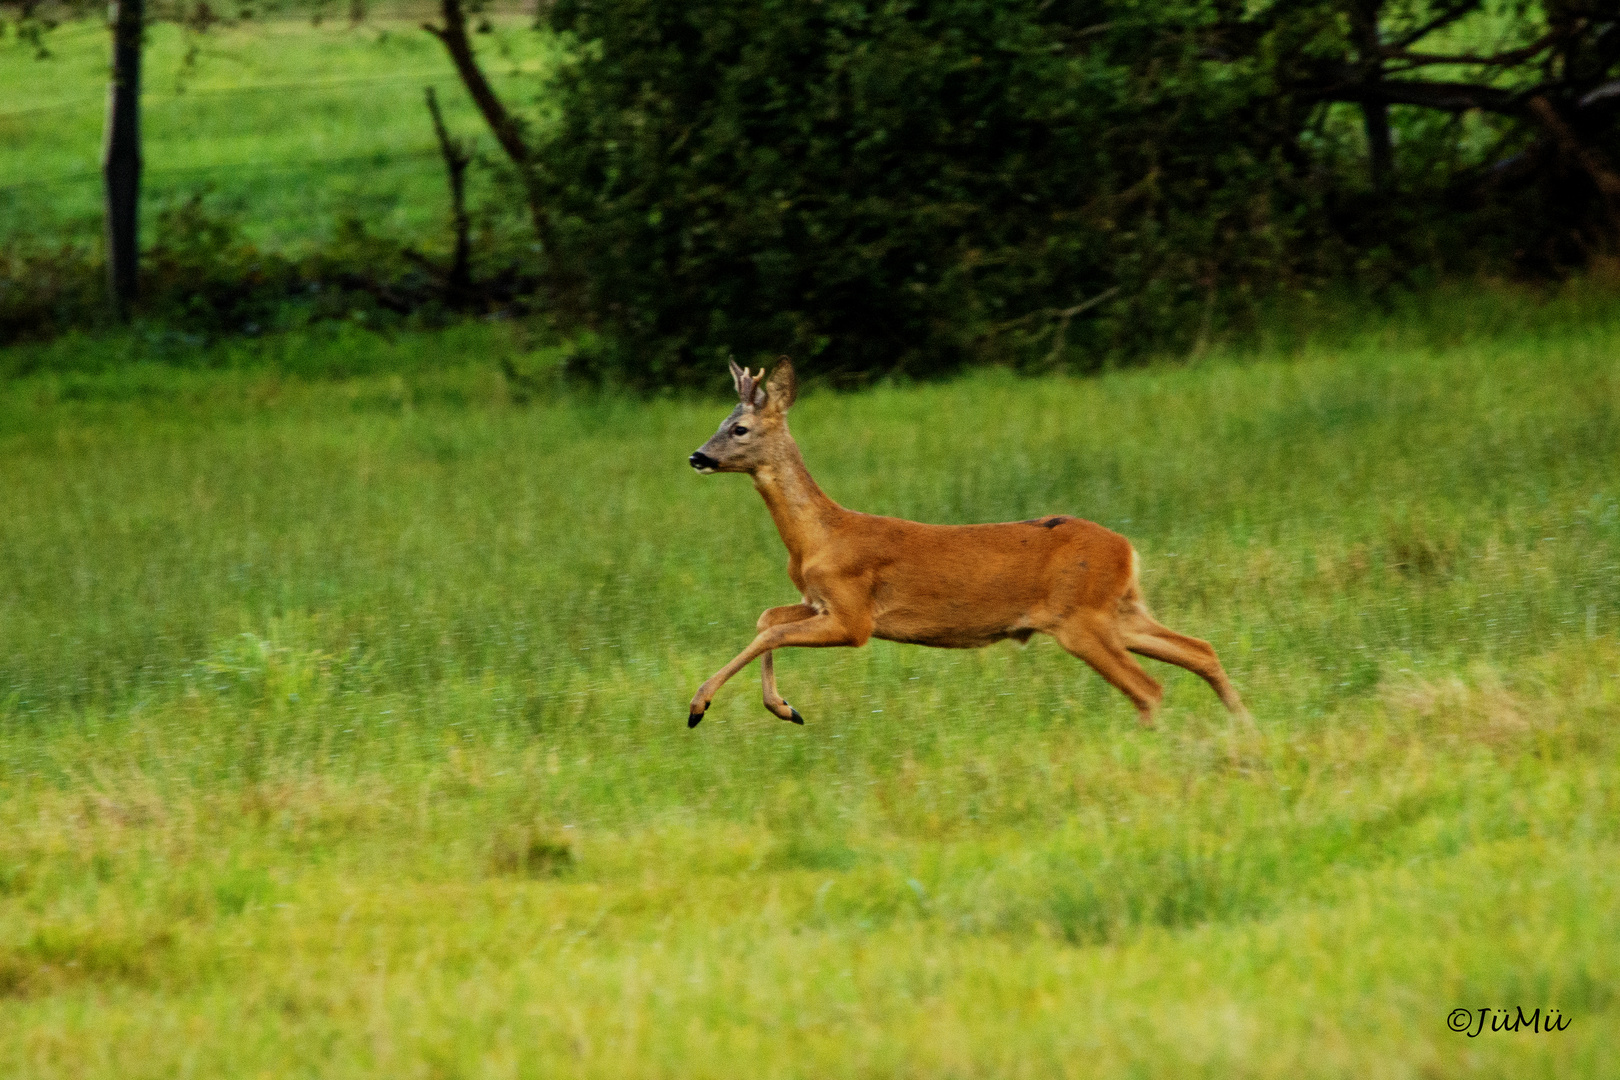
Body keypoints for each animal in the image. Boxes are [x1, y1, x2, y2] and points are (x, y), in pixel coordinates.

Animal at [677, 359, 1244, 731]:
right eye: (719, 423)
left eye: (739, 428)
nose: (697, 457)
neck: (819, 537)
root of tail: (1127, 549)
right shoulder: (818, 601)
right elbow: (767, 618)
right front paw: (784, 708)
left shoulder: (855, 617)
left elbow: (770, 630)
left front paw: (699, 706)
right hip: (1118, 609)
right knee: (1201, 650)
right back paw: (1245, 730)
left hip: (1081, 618)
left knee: (1149, 686)